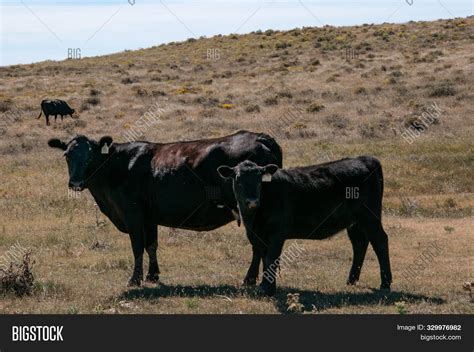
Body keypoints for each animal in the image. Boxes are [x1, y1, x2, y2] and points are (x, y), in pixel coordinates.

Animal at [49, 131, 282, 286]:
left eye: (91, 156)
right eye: (67, 155)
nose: (75, 182)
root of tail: (260, 137)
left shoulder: (132, 214)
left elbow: (137, 246)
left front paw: (134, 280)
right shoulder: (149, 217)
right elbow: (151, 245)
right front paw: (152, 275)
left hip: (252, 210)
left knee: (259, 246)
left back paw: (250, 279)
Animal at [218, 155, 392, 296]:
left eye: (259, 180)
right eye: (238, 179)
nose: (252, 201)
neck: (253, 219)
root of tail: (365, 159)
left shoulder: (277, 233)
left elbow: (271, 257)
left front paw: (268, 289)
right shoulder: (258, 234)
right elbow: (260, 254)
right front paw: (258, 284)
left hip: (370, 216)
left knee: (380, 241)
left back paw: (385, 283)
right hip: (355, 221)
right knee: (359, 243)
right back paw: (351, 280)